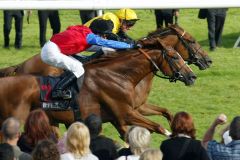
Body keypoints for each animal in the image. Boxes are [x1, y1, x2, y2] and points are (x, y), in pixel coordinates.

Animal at [0, 40, 196, 136]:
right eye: (174, 56)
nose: (192, 76)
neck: (118, 76)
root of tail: (19, 66)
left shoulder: (132, 110)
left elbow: (165, 114)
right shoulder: (126, 113)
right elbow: (159, 127)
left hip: (49, 119)